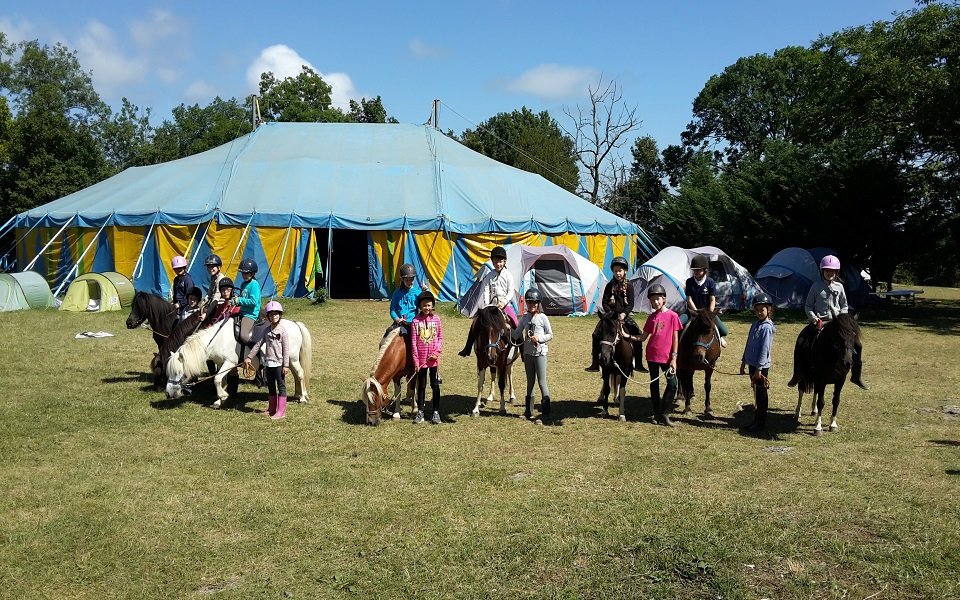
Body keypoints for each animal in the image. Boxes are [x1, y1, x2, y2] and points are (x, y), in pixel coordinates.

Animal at [165, 318, 314, 408]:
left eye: (178, 372)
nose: (168, 393)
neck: (217, 340)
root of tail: (295, 324)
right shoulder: (221, 364)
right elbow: (222, 381)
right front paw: (219, 401)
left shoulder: (229, 362)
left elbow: (217, 379)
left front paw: (223, 396)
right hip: (290, 361)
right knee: (296, 375)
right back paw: (297, 394)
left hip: (293, 359)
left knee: (300, 374)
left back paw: (302, 397)